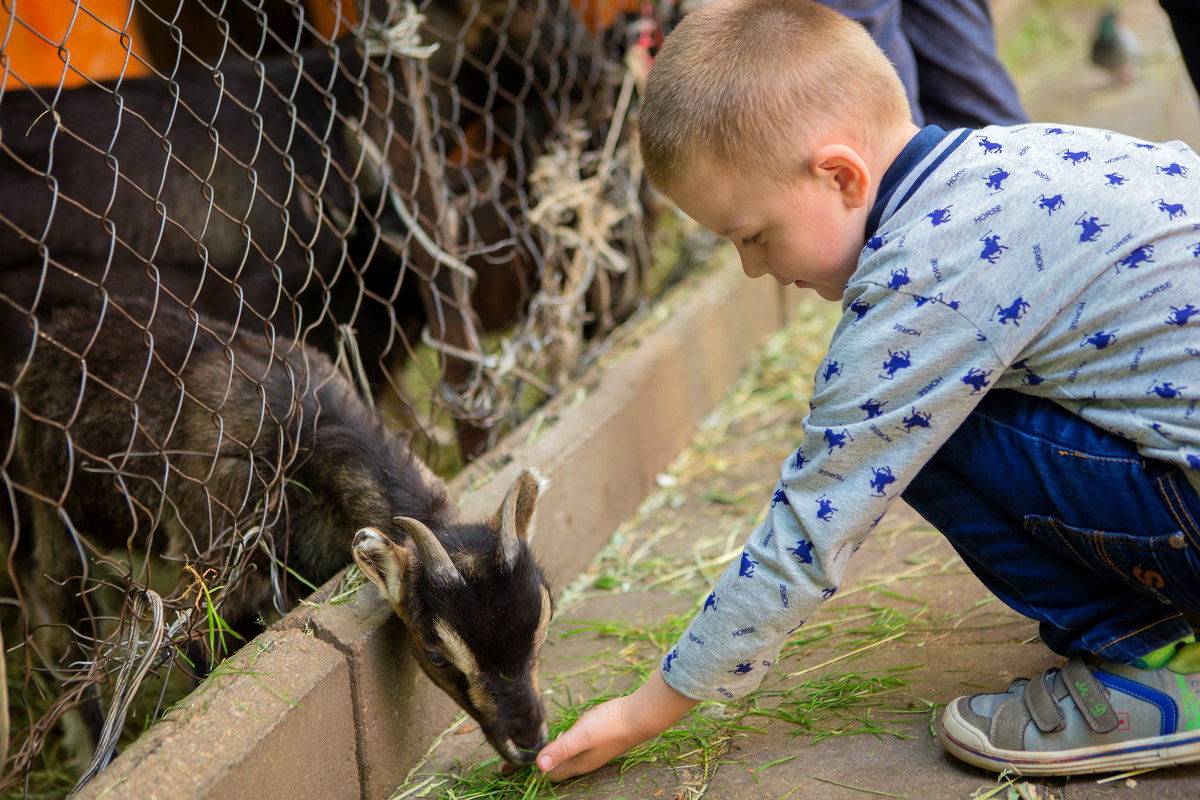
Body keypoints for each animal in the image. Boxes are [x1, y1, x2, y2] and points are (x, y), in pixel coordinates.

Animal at [10, 297, 552, 767]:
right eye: (437, 655)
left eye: (542, 625)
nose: (529, 742)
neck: (303, 434)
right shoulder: (209, 574)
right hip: (51, 513)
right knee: (58, 624)